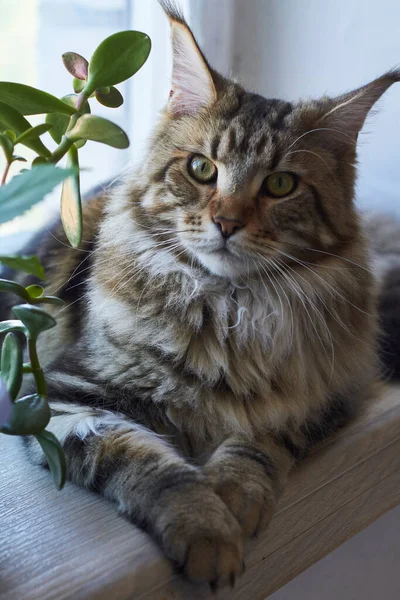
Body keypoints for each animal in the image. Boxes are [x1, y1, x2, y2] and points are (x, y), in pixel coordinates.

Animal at [1, 0, 398, 592]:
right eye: (202, 169)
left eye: (281, 185)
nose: (227, 222)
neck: (228, 310)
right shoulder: (68, 398)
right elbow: (153, 466)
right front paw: (208, 532)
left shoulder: (327, 394)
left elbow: (259, 442)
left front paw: (234, 493)